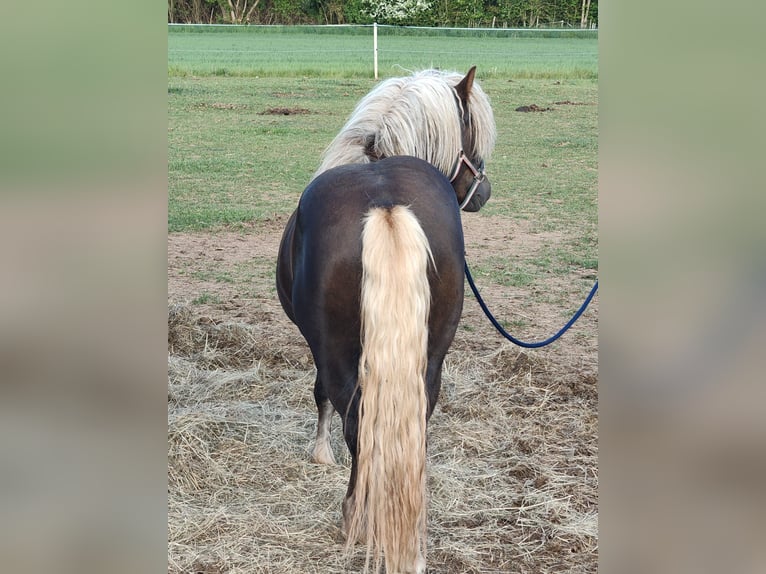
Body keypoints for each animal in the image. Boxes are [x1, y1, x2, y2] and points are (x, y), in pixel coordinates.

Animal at [276, 67, 496, 573]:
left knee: (357, 422)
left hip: (339, 352)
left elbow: (320, 396)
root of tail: (386, 205)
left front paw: (321, 455)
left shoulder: (320, 350)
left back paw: (355, 515)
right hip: (430, 356)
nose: (485, 191)